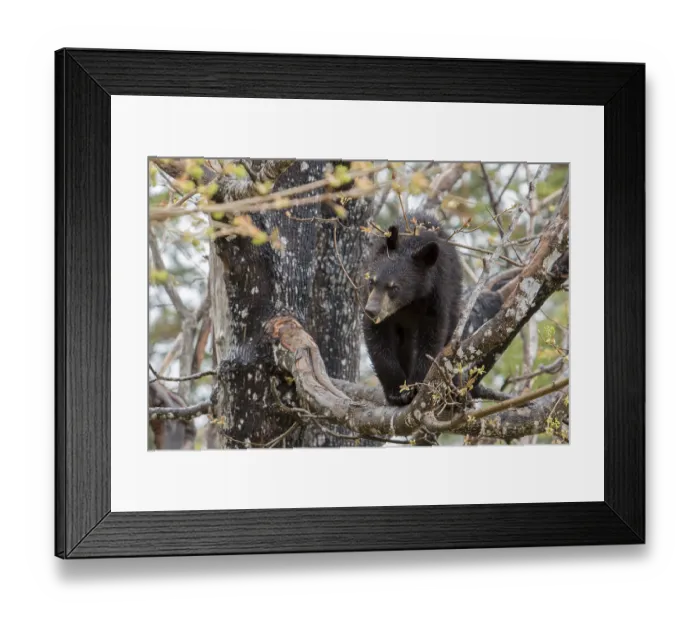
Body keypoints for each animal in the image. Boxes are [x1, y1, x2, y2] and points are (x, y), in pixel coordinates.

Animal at [362, 212, 463, 405]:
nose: (371, 310)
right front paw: (397, 391)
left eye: (394, 287)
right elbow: (377, 338)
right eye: (372, 282)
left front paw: (416, 386)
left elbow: (432, 337)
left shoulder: (436, 295)